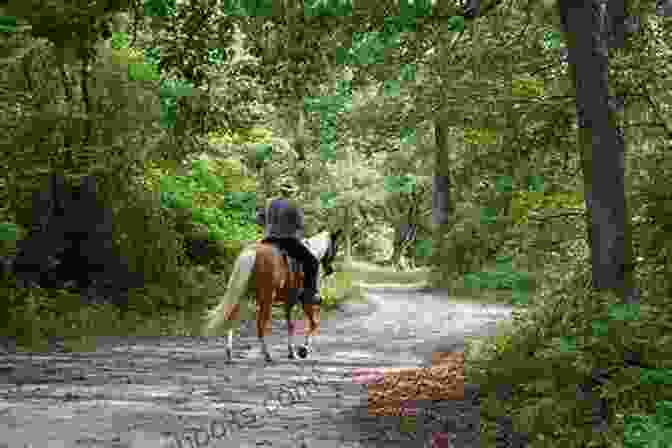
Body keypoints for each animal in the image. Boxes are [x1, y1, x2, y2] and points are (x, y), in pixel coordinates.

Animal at [203, 229, 342, 362]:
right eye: (335, 247)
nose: (330, 270)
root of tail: (253, 252)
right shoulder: (304, 301)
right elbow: (313, 323)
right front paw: (303, 350)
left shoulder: (288, 302)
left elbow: (290, 325)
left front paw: (291, 352)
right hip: (266, 299)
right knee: (260, 325)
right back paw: (267, 355)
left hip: (242, 295)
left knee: (232, 319)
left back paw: (229, 353)